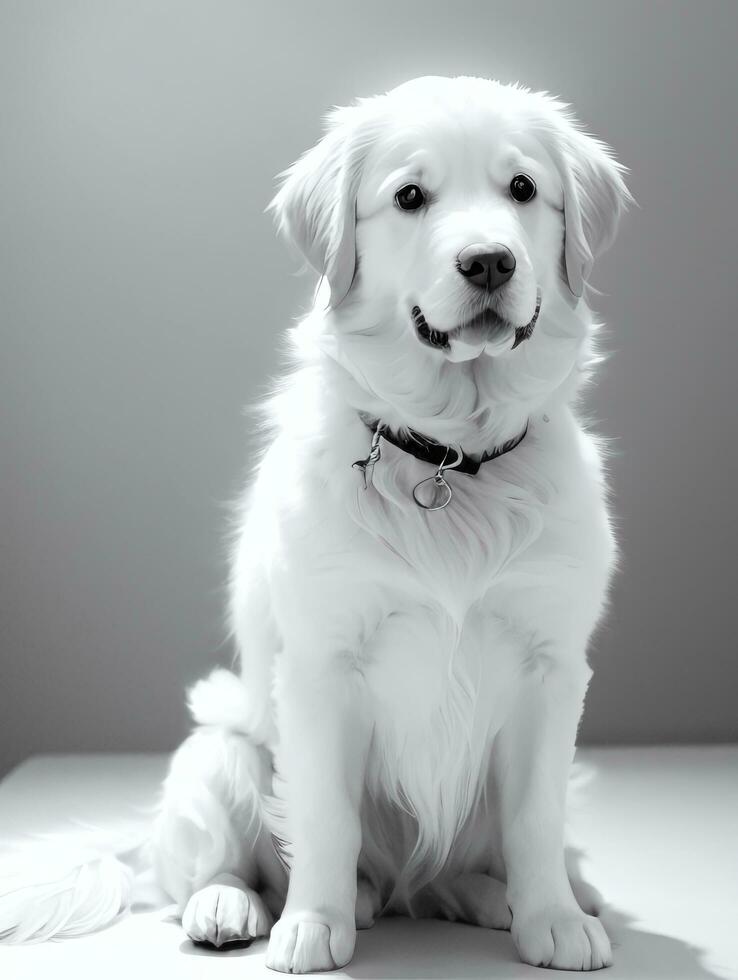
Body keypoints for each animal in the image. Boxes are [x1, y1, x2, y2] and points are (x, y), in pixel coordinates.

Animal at [2, 76, 628, 972]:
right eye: (410, 197)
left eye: (522, 189)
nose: (489, 261)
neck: (449, 458)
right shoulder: (321, 666)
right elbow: (327, 817)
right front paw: (314, 924)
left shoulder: (553, 668)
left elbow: (535, 817)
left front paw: (553, 919)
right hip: (221, 745)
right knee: (213, 867)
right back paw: (238, 906)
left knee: (456, 871)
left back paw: (505, 896)